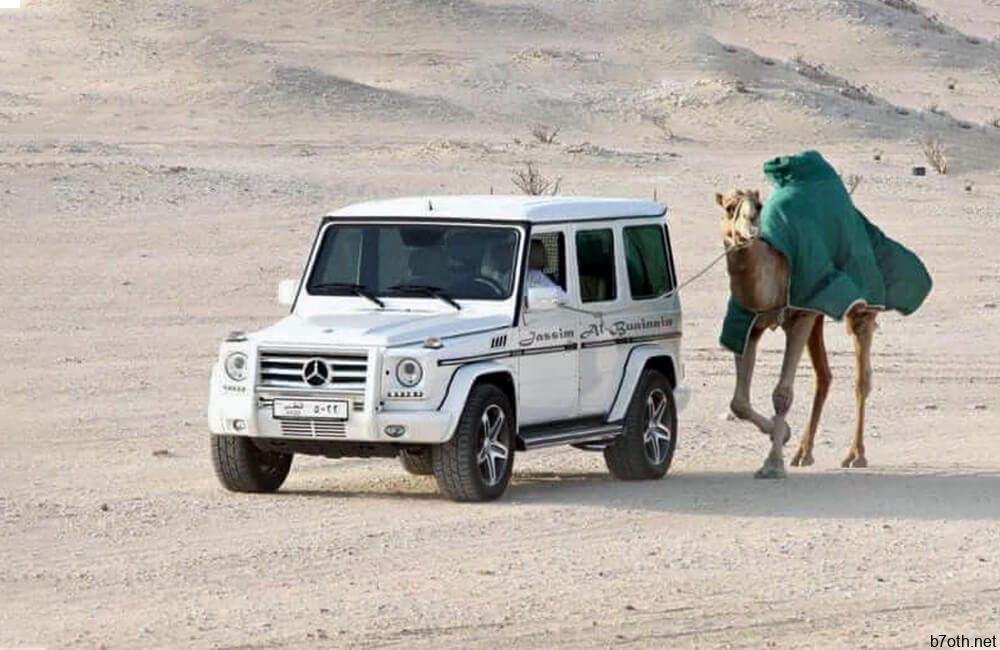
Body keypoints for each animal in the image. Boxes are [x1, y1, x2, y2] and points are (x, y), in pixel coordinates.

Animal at [715, 189, 878, 479]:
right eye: (729, 207)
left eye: (759, 206)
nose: (751, 225)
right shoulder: (748, 326)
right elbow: (739, 402)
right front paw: (783, 434)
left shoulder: (799, 317)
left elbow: (782, 394)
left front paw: (772, 463)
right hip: (817, 316)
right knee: (823, 376)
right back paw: (803, 453)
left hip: (858, 306)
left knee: (861, 377)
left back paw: (855, 455)